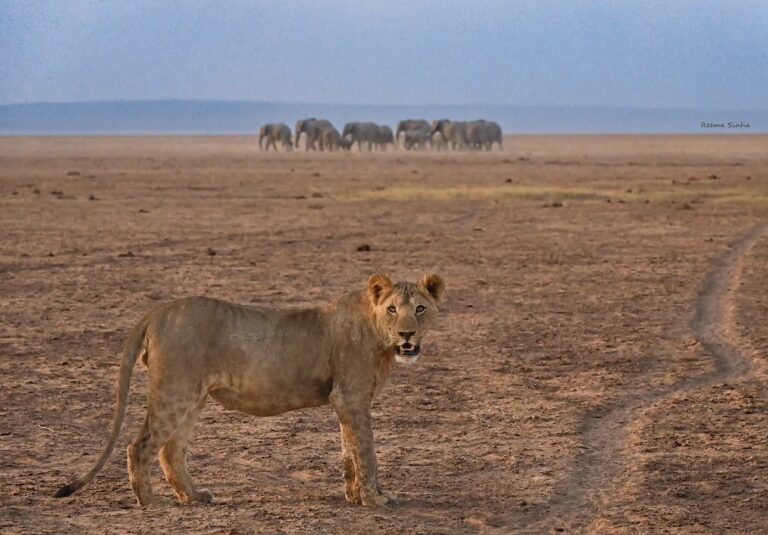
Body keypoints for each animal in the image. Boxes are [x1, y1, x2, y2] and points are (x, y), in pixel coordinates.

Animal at [54, 273, 445, 507]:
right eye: (392, 309)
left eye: (420, 309)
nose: (407, 334)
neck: (381, 341)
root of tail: (158, 310)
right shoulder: (351, 397)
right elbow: (366, 452)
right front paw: (377, 499)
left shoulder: (345, 401)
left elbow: (349, 450)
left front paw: (353, 497)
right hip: (174, 392)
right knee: (140, 447)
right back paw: (152, 503)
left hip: (192, 397)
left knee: (171, 451)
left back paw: (195, 496)